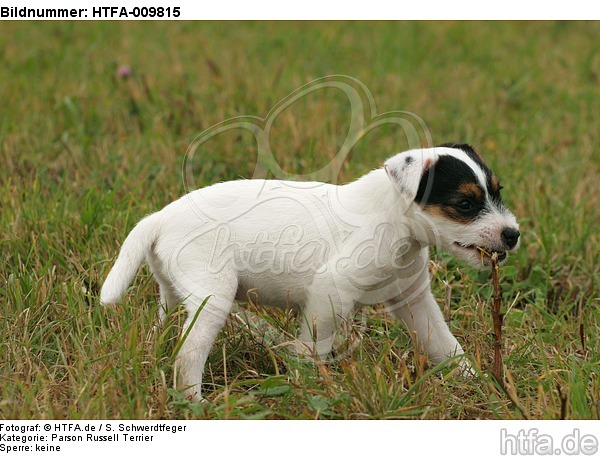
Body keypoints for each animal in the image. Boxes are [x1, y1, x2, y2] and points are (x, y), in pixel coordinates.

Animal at [99, 144, 520, 400]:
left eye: (497, 192)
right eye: (464, 204)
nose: (512, 234)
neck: (393, 220)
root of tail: (160, 217)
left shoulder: (414, 300)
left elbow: (445, 345)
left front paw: (477, 381)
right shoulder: (329, 292)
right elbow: (315, 346)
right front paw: (311, 381)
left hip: (174, 292)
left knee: (163, 328)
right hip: (212, 298)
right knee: (188, 355)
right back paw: (196, 403)